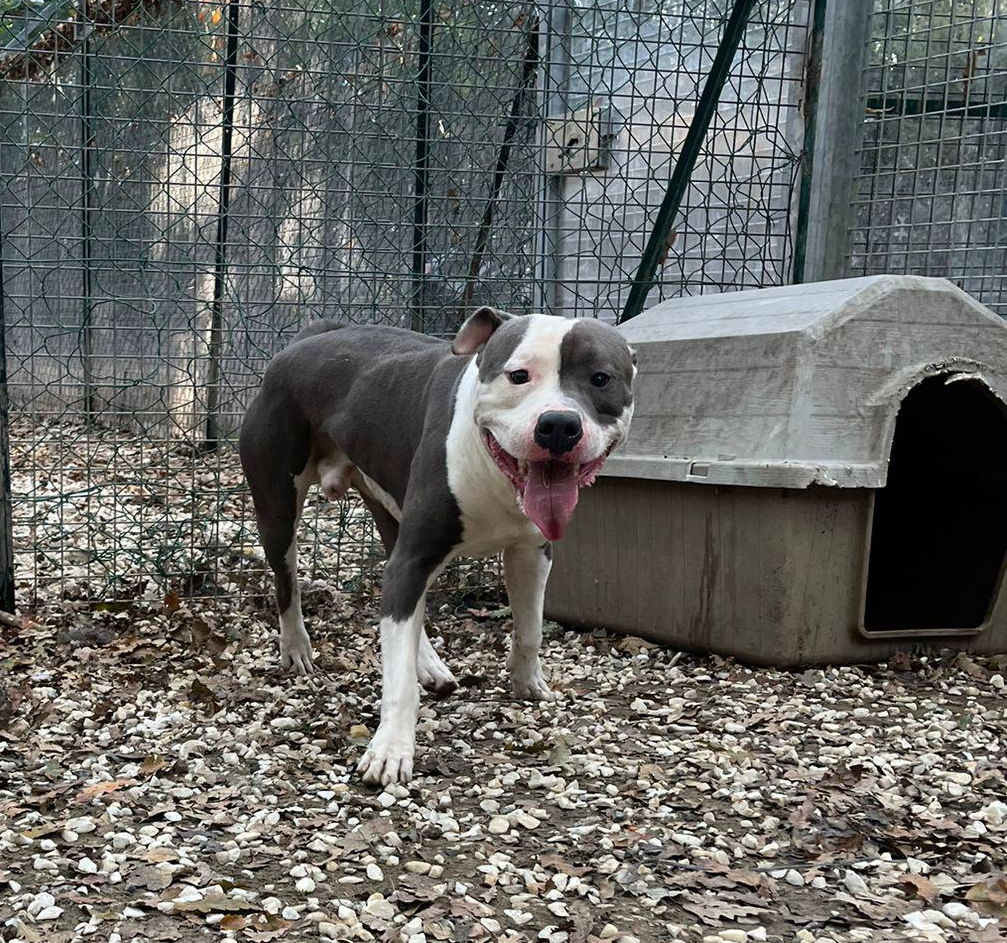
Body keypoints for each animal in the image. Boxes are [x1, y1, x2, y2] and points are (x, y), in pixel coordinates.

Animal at [239, 308, 636, 785]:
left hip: (388, 509)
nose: (558, 425)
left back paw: (427, 664)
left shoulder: (531, 552)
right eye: (518, 375)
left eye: (601, 379)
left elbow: (530, 629)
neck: (492, 466)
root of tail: (305, 340)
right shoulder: (415, 557)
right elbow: (398, 678)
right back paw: (297, 647)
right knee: (287, 580)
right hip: (277, 506)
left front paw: (526, 681)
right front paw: (390, 749)